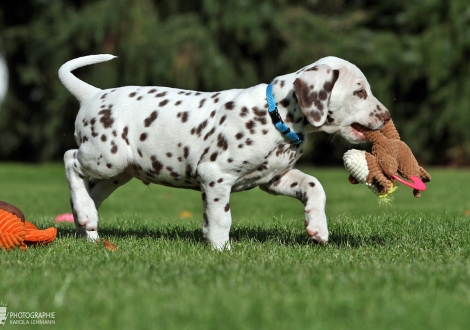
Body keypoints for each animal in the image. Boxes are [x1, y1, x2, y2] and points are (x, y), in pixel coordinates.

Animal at [57, 54, 390, 250]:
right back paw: (85, 213)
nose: (386, 116)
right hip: (106, 158)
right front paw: (220, 249)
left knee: (89, 192)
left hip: (117, 173)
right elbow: (221, 218)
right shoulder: (215, 176)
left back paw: (87, 224)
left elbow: (315, 185)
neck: (274, 114)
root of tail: (94, 94)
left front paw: (317, 226)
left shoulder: (276, 178)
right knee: (70, 159)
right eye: (360, 92)